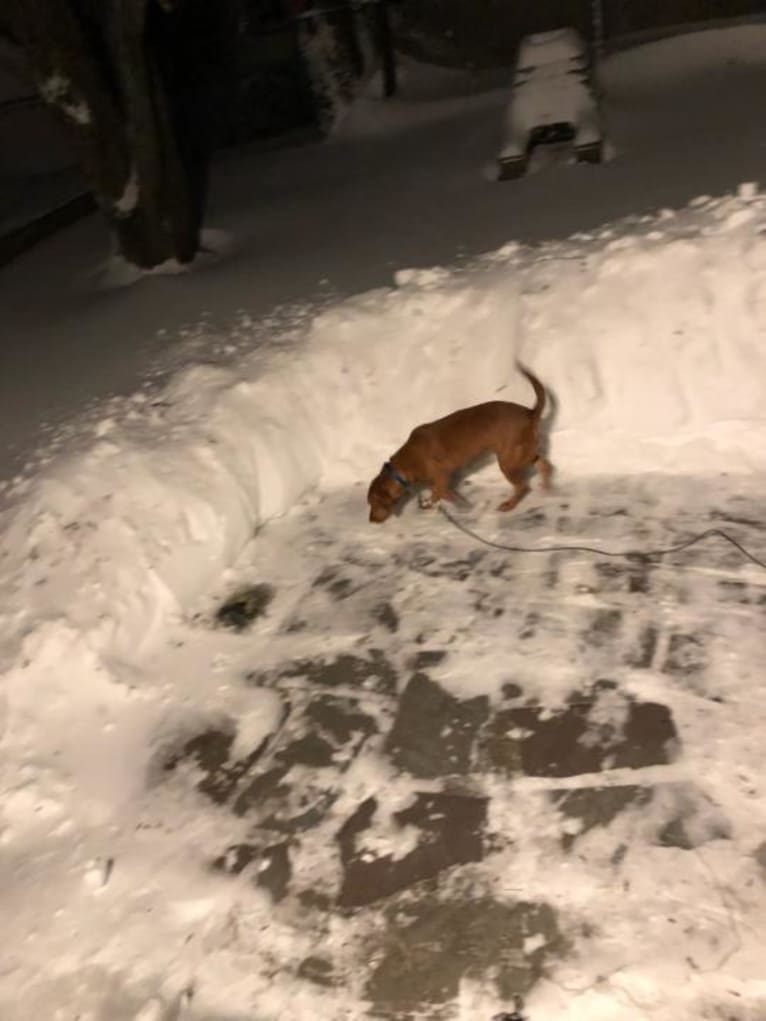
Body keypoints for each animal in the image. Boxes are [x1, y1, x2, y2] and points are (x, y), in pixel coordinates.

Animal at [369, 363, 555, 522]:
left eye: (373, 503)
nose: (371, 520)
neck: (403, 466)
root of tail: (530, 413)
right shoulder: (441, 482)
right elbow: (447, 494)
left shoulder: (441, 478)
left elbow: (439, 494)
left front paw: (447, 505)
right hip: (524, 454)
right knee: (545, 465)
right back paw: (547, 489)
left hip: (508, 462)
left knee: (522, 486)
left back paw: (509, 505)